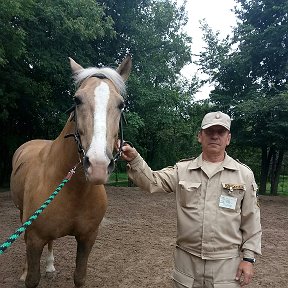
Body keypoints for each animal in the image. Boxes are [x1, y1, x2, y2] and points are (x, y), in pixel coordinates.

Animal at [9, 55, 132, 286]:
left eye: (121, 104)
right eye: (77, 100)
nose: (98, 166)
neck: (74, 190)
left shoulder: (87, 238)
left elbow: (79, 277)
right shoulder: (34, 239)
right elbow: (32, 278)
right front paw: (27, 273)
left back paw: (50, 265)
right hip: (22, 216)